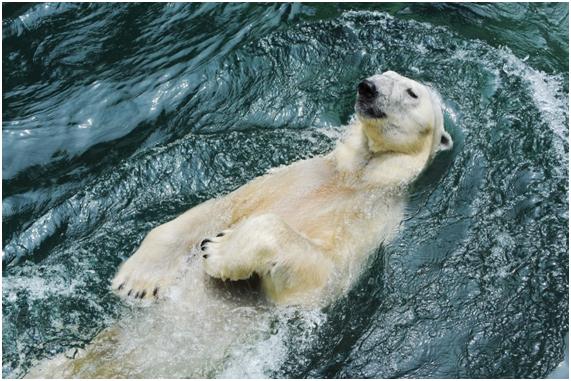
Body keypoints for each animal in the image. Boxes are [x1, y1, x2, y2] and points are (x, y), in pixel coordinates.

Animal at [110, 70, 452, 306]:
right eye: (383, 73)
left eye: (412, 92)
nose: (368, 87)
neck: (356, 178)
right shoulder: (289, 177)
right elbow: (219, 207)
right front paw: (135, 281)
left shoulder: (372, 223)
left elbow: (321, 274)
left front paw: (218, 248)